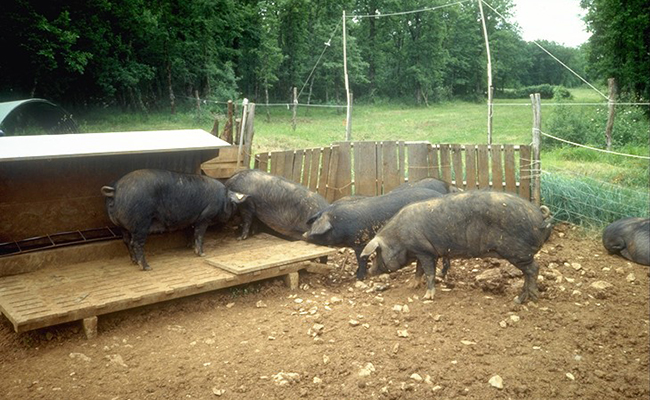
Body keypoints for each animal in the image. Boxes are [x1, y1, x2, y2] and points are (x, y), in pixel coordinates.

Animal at [100, 167, 244, 270]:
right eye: (233, 204)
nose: (234, 216)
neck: (222, 198)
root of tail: (115, 189)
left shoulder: (190, 219)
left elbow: (190, 233)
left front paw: (190, 247)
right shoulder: (205, 216)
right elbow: (199, 234)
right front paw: (202, 254)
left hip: (121, 225)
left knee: (125, 241)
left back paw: (134, 262)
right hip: (140, 222)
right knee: (135, 243)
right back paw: (146, 267)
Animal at [302, 187, 442, 278]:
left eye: (316, 230)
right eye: (312, 224)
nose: (304, 235)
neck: (340, 224)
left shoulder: (360, 242)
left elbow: (361, 259)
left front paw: (358, 277)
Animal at [356, 191, 548, 304]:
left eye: (376, 254)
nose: (369, 272)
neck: (399, 238)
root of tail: (540, 216)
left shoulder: (425, 252)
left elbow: (429, 273)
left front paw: (427, 297)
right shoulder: (422, 252)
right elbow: (418, 271)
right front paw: (412, 286)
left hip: (518, 252)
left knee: (533, 269)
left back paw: (525, 299)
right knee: (528, 272)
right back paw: (520, 299)